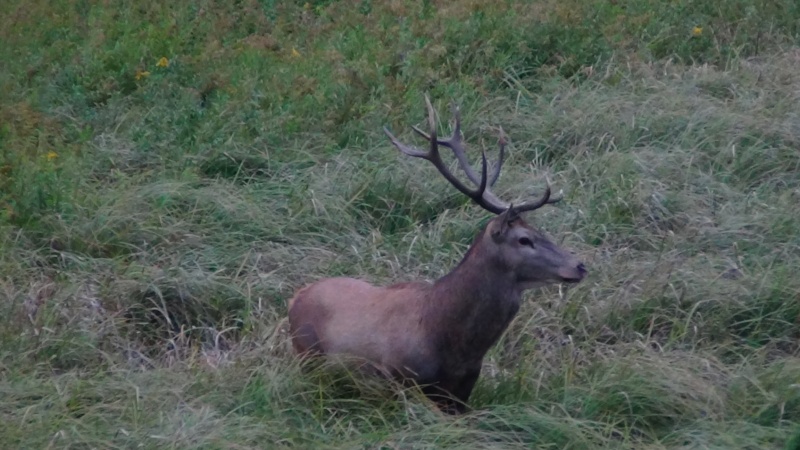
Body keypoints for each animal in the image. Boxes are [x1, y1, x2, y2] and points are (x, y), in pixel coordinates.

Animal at [288, 96, 588, 414]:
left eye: (541, 230)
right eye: (524, 239)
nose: (579, 266)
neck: (450, 343)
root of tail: (295, 298)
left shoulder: (463, 391)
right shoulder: (401, 381)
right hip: (307, 355)